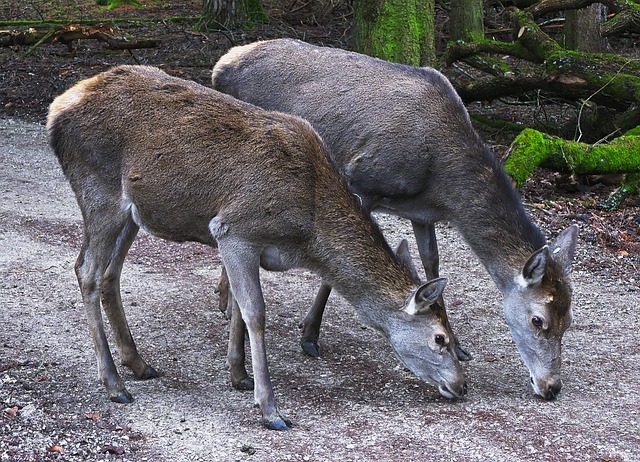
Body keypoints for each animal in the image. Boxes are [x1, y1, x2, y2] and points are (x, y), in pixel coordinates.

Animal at [46, 66, 464, 434]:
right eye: (440, 338)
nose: (461, 385)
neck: (307, 231)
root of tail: (56, 109)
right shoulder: (234, 229)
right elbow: (255, 312)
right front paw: (270, 408)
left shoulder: (250, 246)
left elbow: (237, 308)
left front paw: (238, 374)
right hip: (98, 191)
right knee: (86, 270)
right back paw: (114, 384)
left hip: (133, 212)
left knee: (110, 273)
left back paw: (138, 363)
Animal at [211, 38, 580, 400]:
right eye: (538, 320)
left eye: (569, 320)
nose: (552, 387)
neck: (441, 181)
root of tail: (221, 64)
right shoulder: (361, 181)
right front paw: (309, 335)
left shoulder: (421, 213)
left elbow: (431, 263)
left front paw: (459, 346)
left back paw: (226, 299)